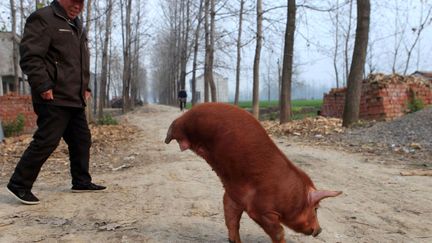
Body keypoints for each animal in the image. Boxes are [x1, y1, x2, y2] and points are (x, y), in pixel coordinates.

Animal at [164, 103, 342, 243]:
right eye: (316, 208)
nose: (319, 230)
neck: (291, 196)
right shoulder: (261, 209)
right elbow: (278, 232)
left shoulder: (234, 197)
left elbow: (232, 221)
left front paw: (235, 241)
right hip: (184, 124)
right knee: (173, 126)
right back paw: (167, 138)